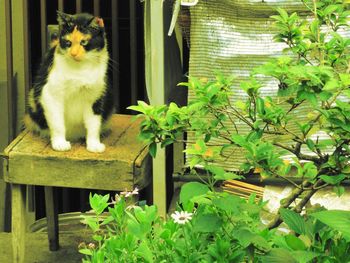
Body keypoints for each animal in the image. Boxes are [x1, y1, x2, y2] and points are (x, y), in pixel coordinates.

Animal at [26, 11, 113, 153]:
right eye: (68, 42)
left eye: (84, 42)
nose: (73, 53)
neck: (80, 69)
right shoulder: (51, 95)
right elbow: (57, 123)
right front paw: (60, 144)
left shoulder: (95, 97)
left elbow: (93, 123)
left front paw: (94, 145)